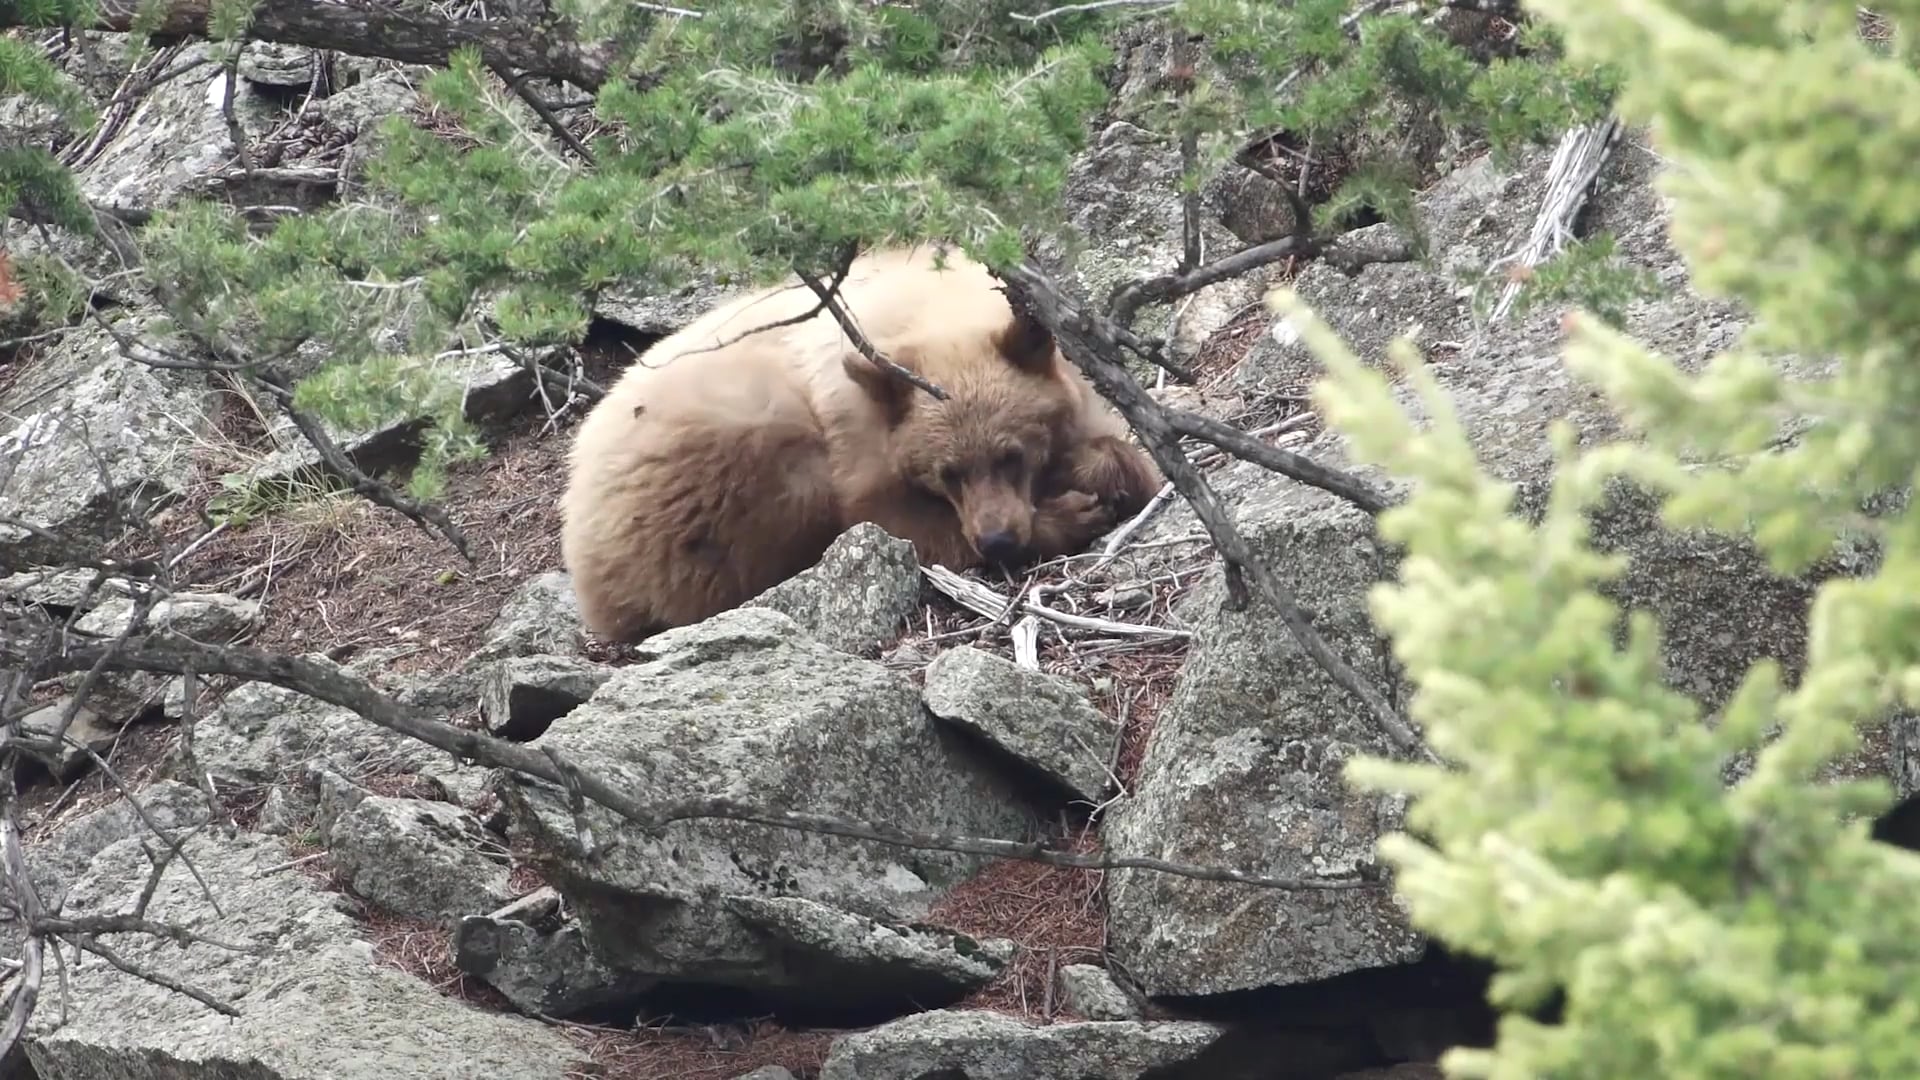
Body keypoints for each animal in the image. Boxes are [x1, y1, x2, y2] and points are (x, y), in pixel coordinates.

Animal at [558, 244, 1163, 644]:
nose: (998, 539)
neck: (930, 306)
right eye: (948, 472)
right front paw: (1068, 511)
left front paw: (1096, 471)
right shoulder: (856, 435)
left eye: (1011, 455)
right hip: (720, 455)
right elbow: (890, 524)